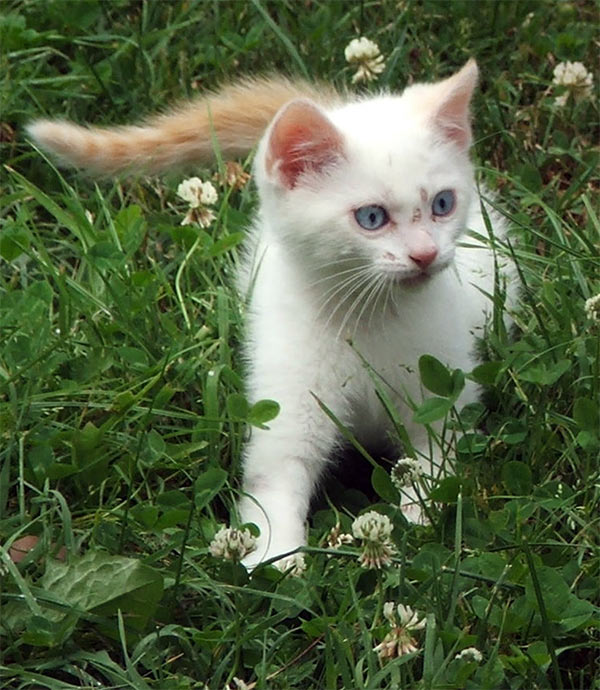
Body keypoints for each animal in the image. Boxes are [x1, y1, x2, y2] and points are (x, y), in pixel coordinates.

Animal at [29, 59, 516, 564]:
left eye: (443, 204)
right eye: (371, 218)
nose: (425, 255)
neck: (370, 316)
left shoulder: (441, 392)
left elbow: (430, 464)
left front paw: (416, 529)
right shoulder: (287, 400)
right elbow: (276, 479)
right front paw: (276, 557)